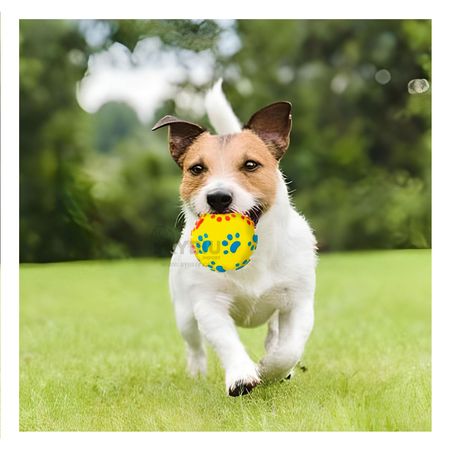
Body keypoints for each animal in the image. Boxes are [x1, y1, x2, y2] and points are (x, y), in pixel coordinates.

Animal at [152, 79, 316, 396]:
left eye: (251, 165)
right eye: (197, 168)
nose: (218, 197)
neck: (252, 252)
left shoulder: (298, 302)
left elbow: (289, 349)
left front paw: (272, 369)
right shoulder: (208, 305)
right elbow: (226, 341)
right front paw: (242, 376)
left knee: (275, 334)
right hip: (184, 313)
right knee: (195, 346)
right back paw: (197, 372)